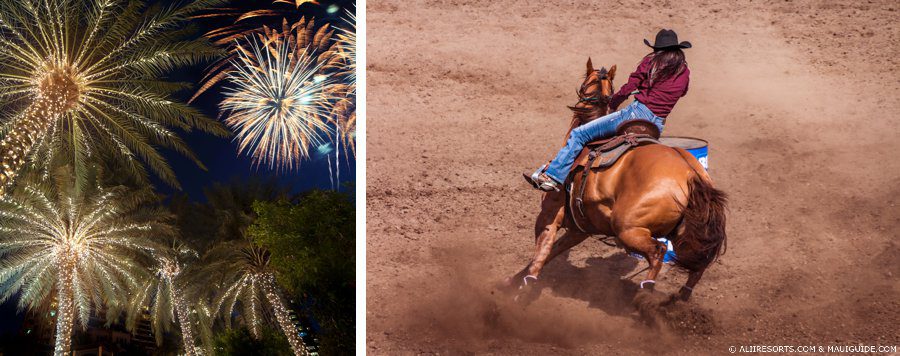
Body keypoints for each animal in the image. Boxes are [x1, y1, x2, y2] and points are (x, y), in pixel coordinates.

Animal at [506, 57, 732, 304]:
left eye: (586, 82)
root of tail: (690, 173)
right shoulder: (579, 230)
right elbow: (551, 252)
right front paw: (514, 280)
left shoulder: (549, 214)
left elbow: (542, 251)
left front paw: (525, 285)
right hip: (685, 234)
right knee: (699, 263)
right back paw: (679, 297)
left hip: (628, 229)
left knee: (658, 253)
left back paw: (645, 294)